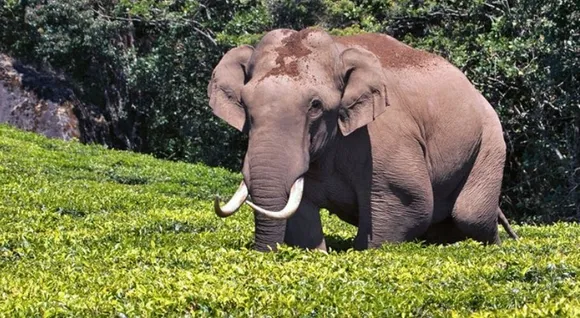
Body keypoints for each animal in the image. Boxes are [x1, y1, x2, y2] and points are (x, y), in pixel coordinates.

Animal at [207, 28, 516, 251]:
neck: (339, 49)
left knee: (470, 215)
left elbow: (408, 203)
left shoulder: (385, 138)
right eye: (245, 103)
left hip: (490, 140)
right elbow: (301, 214)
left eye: (315, 105)